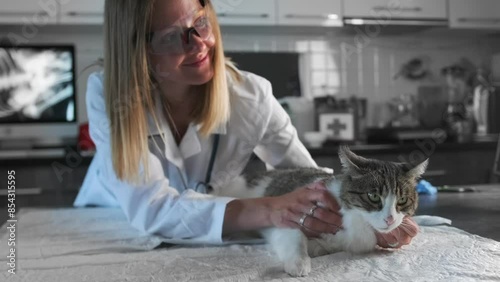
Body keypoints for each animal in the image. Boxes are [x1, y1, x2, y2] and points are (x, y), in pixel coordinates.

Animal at [213, 147, 428, 276]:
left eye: (402, 200)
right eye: (373, 196)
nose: (390, 218)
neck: (356, 222)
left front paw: (319, 247)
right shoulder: (290, 214)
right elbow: (294, 237)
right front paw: (299, 262)